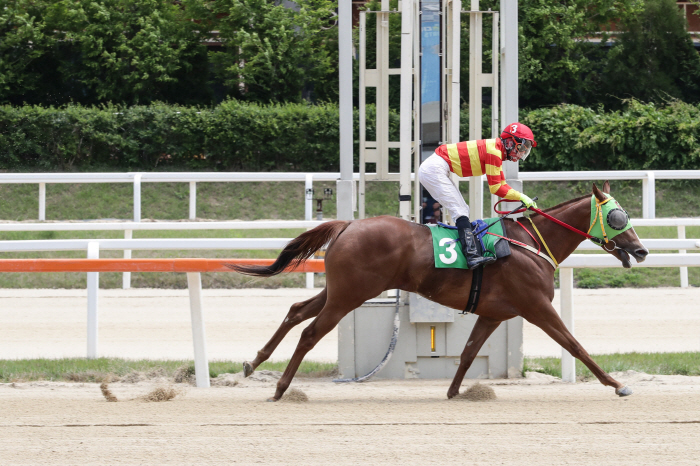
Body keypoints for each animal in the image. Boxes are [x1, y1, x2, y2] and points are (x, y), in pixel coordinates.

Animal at [231, 182, 652, 400]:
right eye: (618, 217)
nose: (641, 251)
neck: (530, 243)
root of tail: (348, 225)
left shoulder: (493, 313)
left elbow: (467, 353)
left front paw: (453, 392)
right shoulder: (535, 307)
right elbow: (575, 345)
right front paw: (617, 384)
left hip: (341, 290)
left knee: (297, 310)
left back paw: (253, 363)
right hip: (349, 295)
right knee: (309, 332)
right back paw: (281, 388)